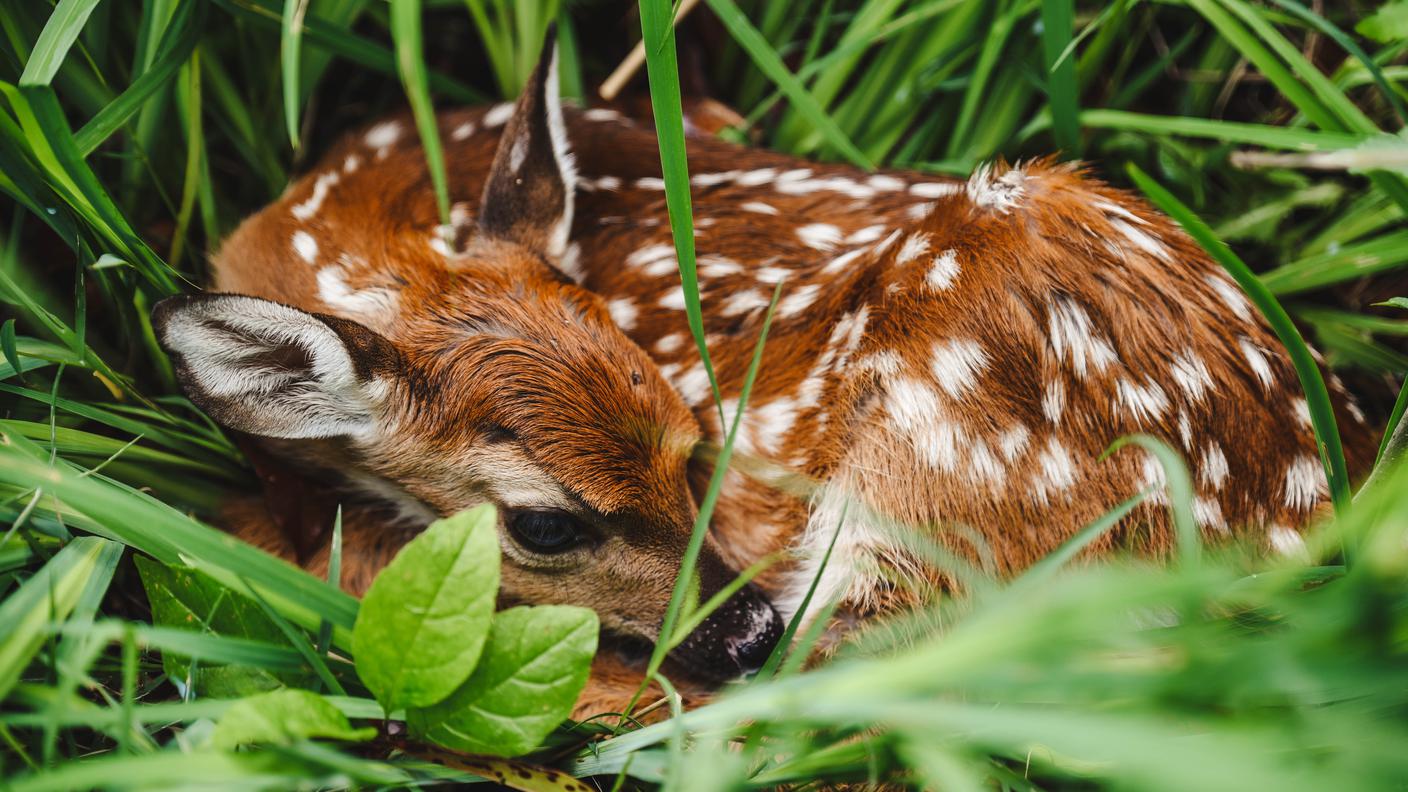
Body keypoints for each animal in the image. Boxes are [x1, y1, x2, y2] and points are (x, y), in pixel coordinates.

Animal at [156, 33, 1374, 704]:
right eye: (544, 524)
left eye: (694, 444)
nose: (740, 630)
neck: (357, 220)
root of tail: (1290, 534)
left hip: (928, 483)